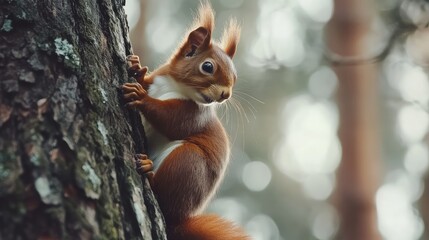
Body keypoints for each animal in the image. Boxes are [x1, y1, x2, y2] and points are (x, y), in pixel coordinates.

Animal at [120, 1, 249, 240]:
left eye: (234, 77)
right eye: (208, 67)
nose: (225, 94)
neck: (174, 86)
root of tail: (178, 221)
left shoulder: (193, 115)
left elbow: (169, 120)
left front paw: (141, 96)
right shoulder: (157, 81)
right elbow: (147, 81)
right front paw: (137, 68)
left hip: (187, 163)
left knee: (164, 197)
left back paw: (148, 172)